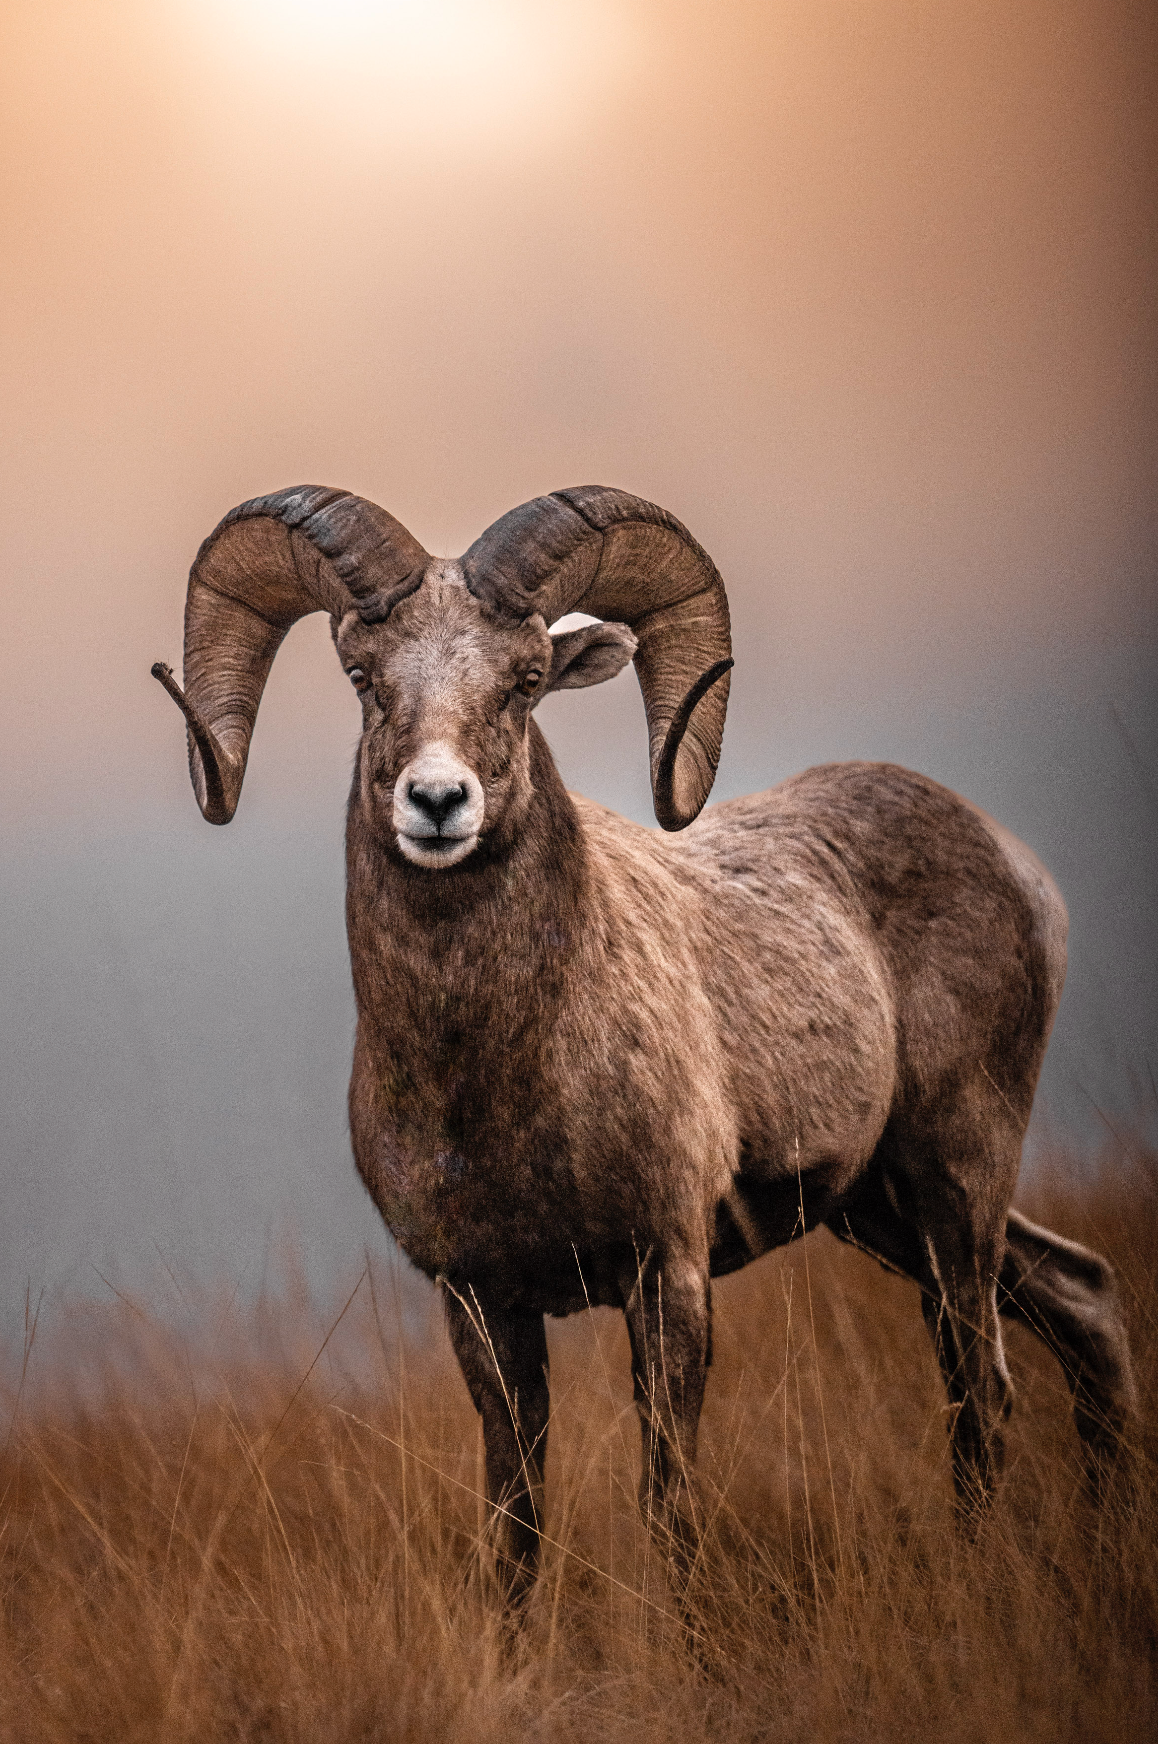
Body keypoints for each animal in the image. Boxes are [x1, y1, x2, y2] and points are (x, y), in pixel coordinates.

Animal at [153, 482, 1137, 1615]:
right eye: (364, 677)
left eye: (526, 680)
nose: (437, 803)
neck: (494, 1081)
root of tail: (1019, 868)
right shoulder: (481, 1306)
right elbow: (516, 1520)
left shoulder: (666, 1274)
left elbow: (668, 1502)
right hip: (881, 1207)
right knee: (1083, 1301)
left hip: (955, 1183)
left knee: (981, 1388)